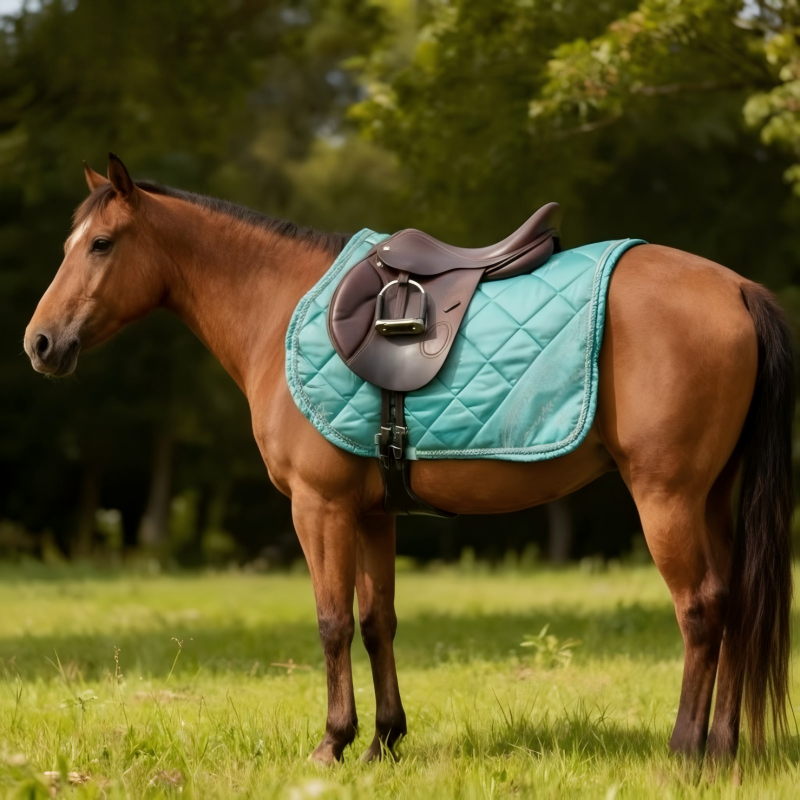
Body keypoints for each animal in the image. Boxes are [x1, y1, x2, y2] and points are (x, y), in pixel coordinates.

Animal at [24, 155, 793, 766]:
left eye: (101, 244)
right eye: (68, 244)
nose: (39, 342)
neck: (279, 308)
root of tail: (737, 289)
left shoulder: (320, 508)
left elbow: (332, 621)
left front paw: (332, 742)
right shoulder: (372, 514)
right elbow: (376, 621)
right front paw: (383, 741)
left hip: (667, 497)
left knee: (700, 610)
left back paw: (685, 751)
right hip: (711, 498)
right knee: (735, 604)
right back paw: (724, 749)